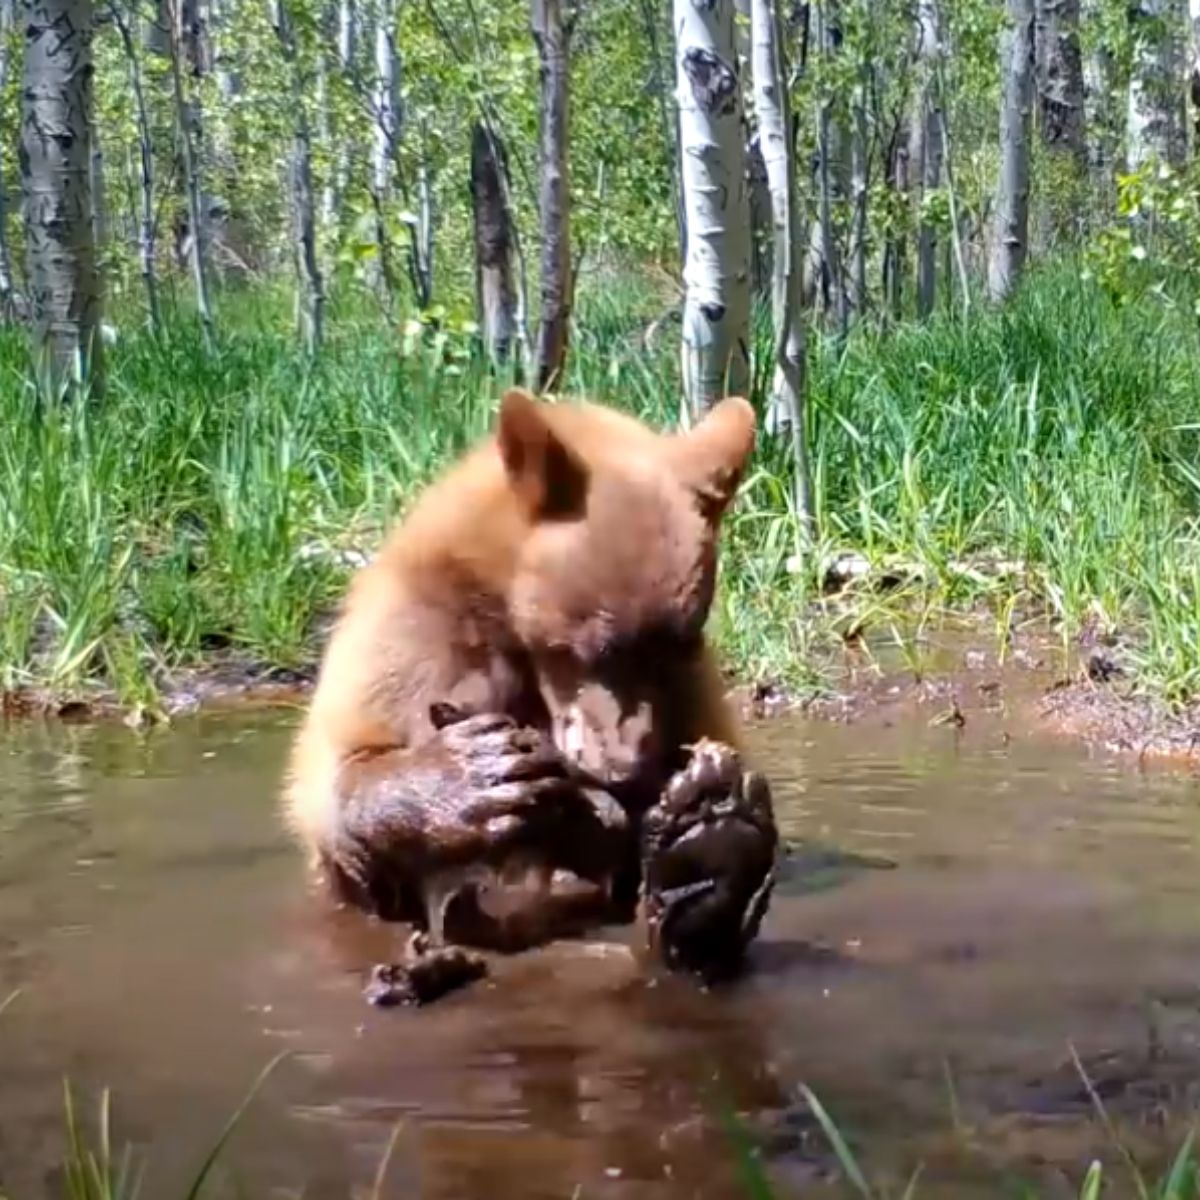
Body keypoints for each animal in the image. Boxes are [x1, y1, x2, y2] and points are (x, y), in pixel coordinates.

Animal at [283, 387, 778, 990]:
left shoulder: (689, 689)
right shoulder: (418, 631)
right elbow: (341, 770)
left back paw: (705, 859)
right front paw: (477, 770)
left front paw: (684, 798)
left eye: (676, 647)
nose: (628, 769)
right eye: (597, 647)